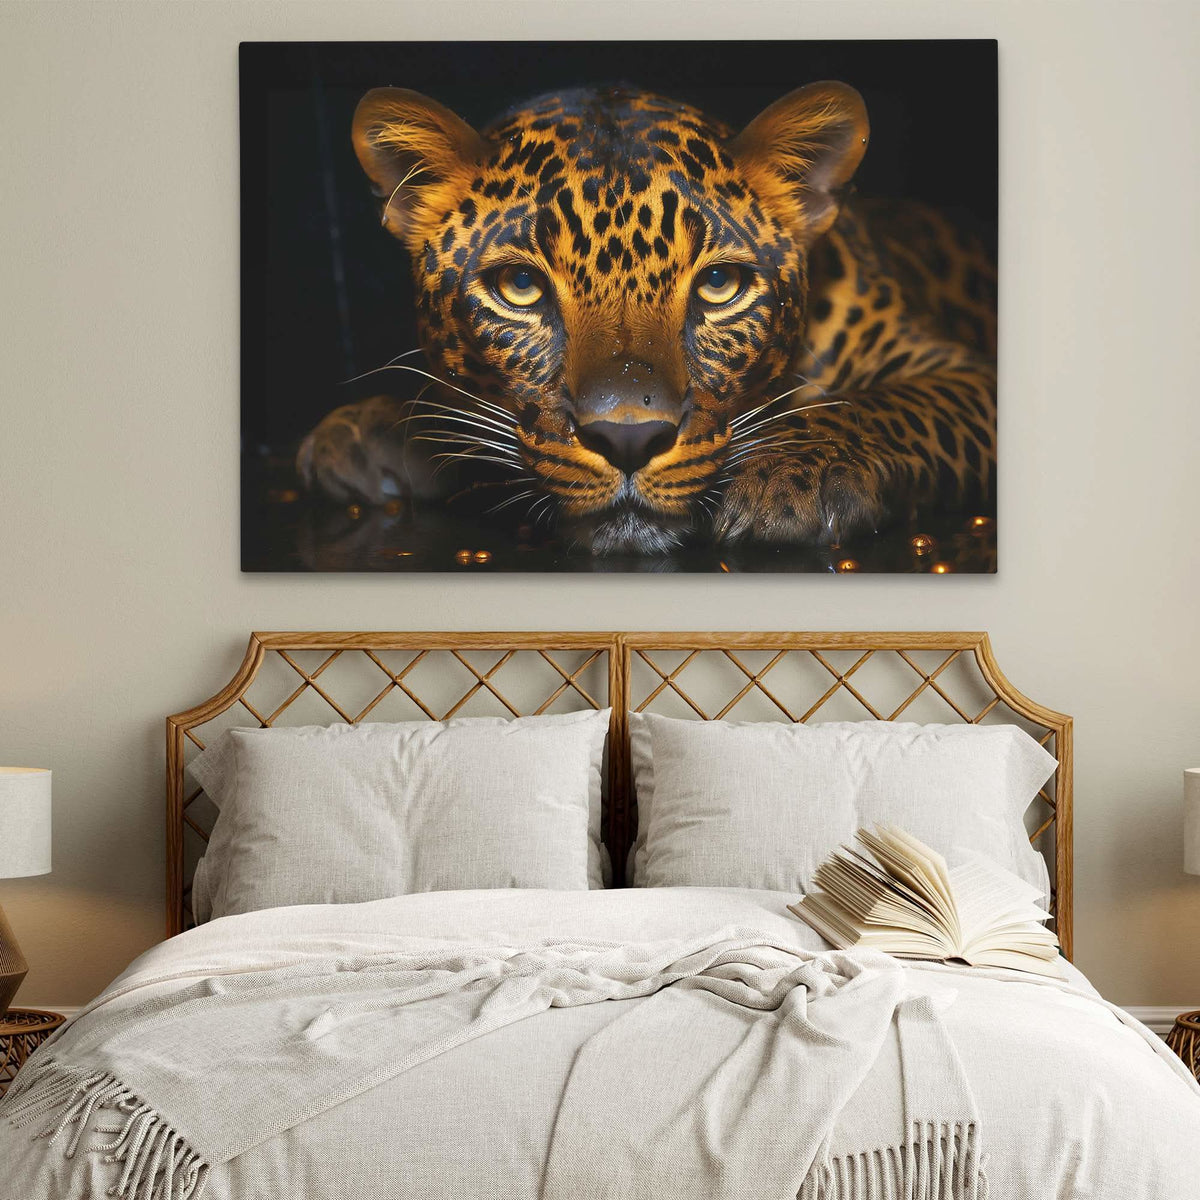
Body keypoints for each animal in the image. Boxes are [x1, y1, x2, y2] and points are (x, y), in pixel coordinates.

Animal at [296, 81, 996, 556]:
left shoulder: (965, 372)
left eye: (718, 285)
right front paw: (368, 428)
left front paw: (794, 471)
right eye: (520, 287)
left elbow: (893, 405)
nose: (628, 440)